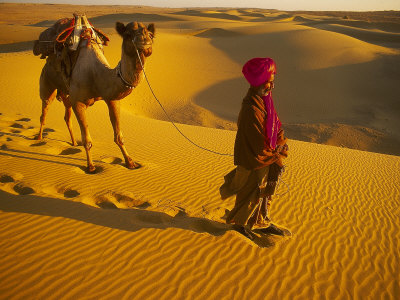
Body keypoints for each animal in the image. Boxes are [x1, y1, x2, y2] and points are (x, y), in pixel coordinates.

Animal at [36, 19, 155, 172]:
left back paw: (73, 143)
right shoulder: (78, 102)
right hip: (47, 83)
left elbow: (119, 136)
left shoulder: (112, 98)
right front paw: (91, 166)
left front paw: (130, 162)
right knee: (44, 111)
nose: (145, 44)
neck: (97, 76)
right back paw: (39, 138)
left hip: (66, 94)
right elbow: (87, 139)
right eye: (127, 34)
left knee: (67, 117)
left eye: (151, 35)